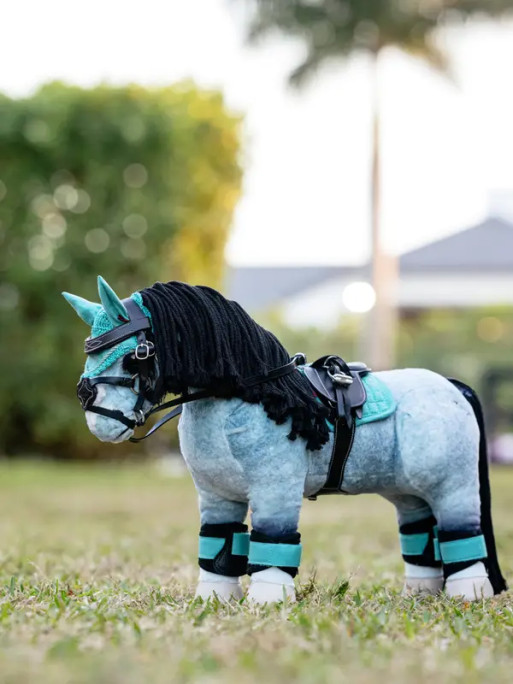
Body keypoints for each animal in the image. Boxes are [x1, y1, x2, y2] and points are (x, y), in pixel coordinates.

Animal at [63, 276, 507, 604]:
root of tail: (450, 385)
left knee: (460, 533)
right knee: (421, 536)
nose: (98, 417)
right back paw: (419, 594)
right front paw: (214, 599)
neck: (253, 394)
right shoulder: (216, 495)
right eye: (89, 354)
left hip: (452, 485)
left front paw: (268, 601)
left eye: (134, 355)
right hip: (408, 492)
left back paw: (468, 594)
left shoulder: (275, 488)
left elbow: (272, 541)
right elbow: (219, 545)